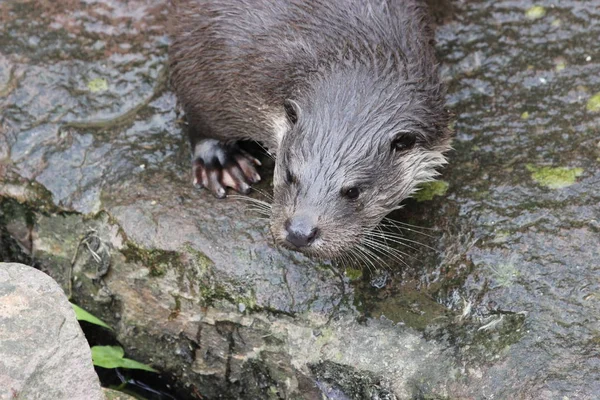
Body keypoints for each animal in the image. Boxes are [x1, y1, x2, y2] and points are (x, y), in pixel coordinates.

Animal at [169, 0, 450, 260]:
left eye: (353, 191)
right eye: (290, 175)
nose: (300, 232)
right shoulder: (215, 46)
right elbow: (201, 107)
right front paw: (220, 163)